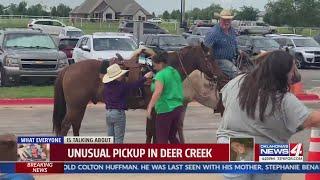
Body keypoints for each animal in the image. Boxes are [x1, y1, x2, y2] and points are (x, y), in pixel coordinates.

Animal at [52, 45, 226, 136]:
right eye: (209, 58)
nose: (221, 75)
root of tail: (68, 69)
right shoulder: (155, 109)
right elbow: (154, 132)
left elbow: (151, 132)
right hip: (76, 106)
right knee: (65, 126)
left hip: (79, 106)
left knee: (75, 125)